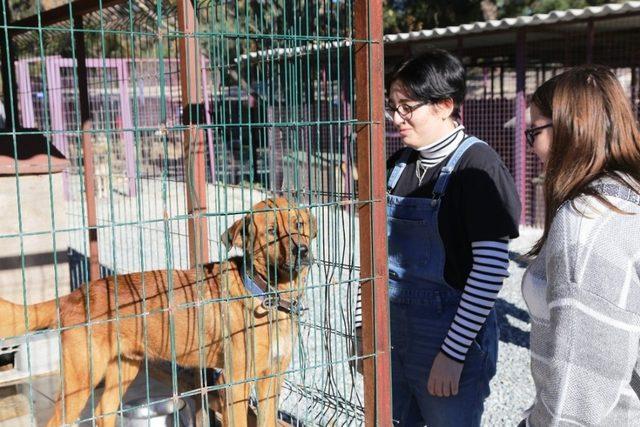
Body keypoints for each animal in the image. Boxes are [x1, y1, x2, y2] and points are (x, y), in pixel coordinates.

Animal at [0, 199, 316, 426]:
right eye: (272, 232)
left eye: (298, 224)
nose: (302, 251)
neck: (266, 294)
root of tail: (73, 295)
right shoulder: (234, 383)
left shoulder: (271, 379)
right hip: (81, 378)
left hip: (123, 368)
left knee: (103, 412)